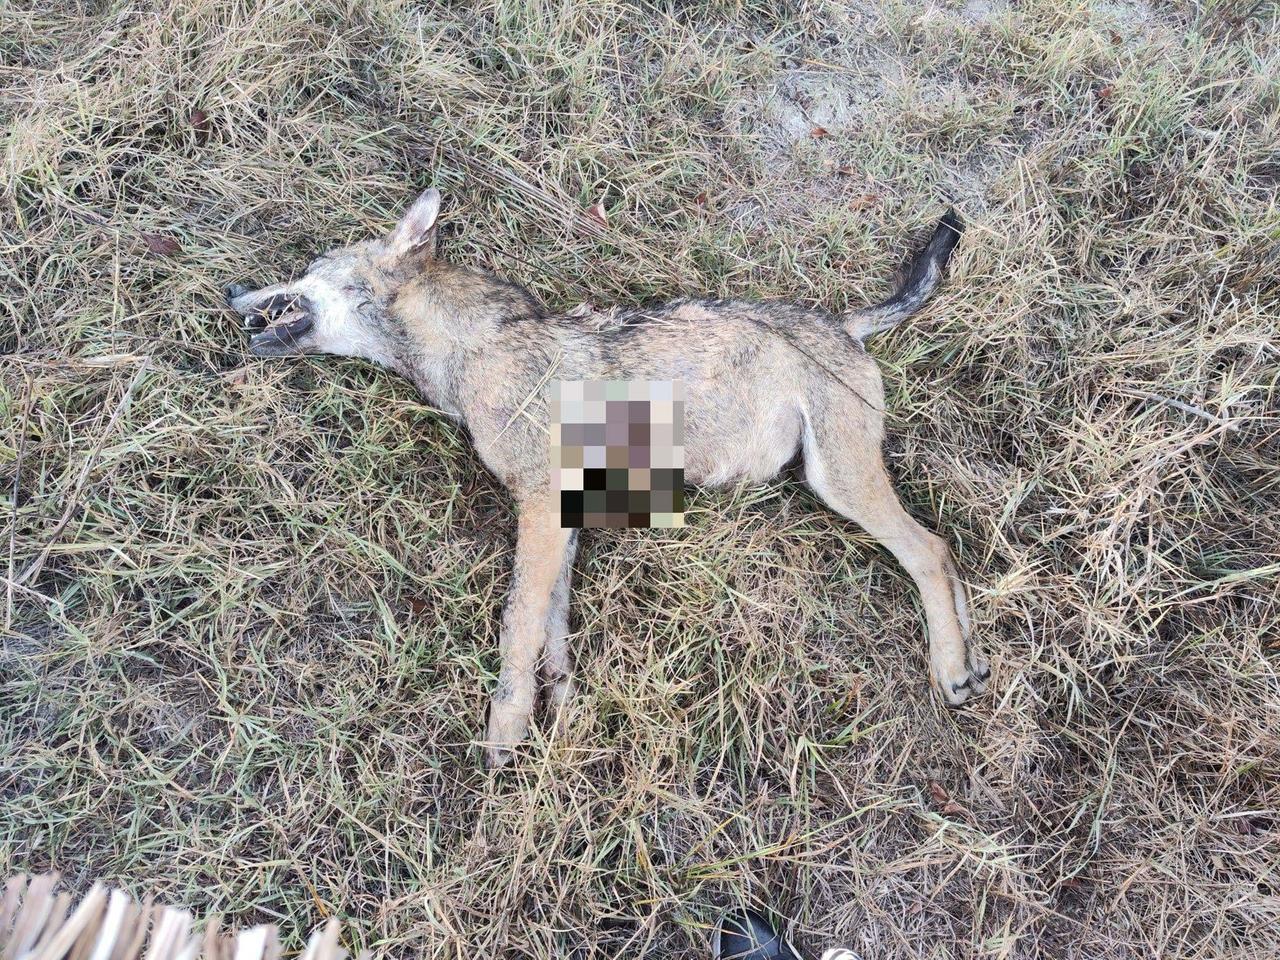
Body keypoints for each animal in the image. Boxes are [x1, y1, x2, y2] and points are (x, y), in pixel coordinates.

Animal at [225, 189, 989, 766]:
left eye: (310, 265)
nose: (232, 288)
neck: (476, 349)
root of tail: (846, 325)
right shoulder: (561, 515)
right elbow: (552, 630)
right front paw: (559, 708)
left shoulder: (537, 506)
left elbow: (518, 623)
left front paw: (506, 730)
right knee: (946, 552)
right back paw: (972, 663)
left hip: (839, 482)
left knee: (929, 549)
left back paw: (950, 667)